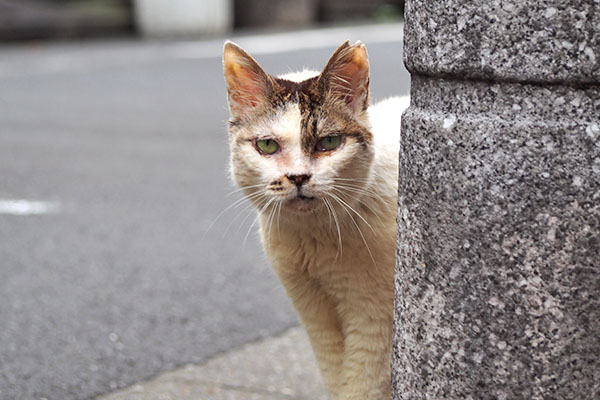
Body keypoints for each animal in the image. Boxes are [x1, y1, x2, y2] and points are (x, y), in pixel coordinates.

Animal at [223, 39, 410, 398]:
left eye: (329, 142)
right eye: (267, 145)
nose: (298, 177)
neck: (314, 241)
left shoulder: (375, 317)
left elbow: (360, 387)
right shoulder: (313, 311)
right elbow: (335, 377)